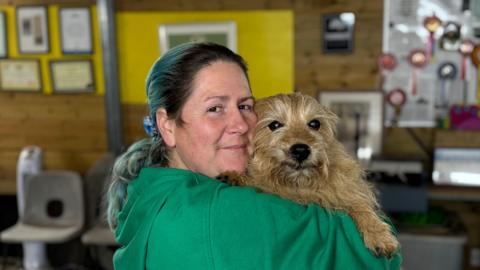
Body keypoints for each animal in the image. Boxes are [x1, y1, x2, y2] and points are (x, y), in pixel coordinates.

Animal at [223, 92, 400, 255]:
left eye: (314, 123)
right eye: (274, 125)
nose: (301, 150)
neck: (301, 183)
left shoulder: (346, 190)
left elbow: (359, 204)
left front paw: (378, 234)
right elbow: (263, 183)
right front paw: (237, 177)